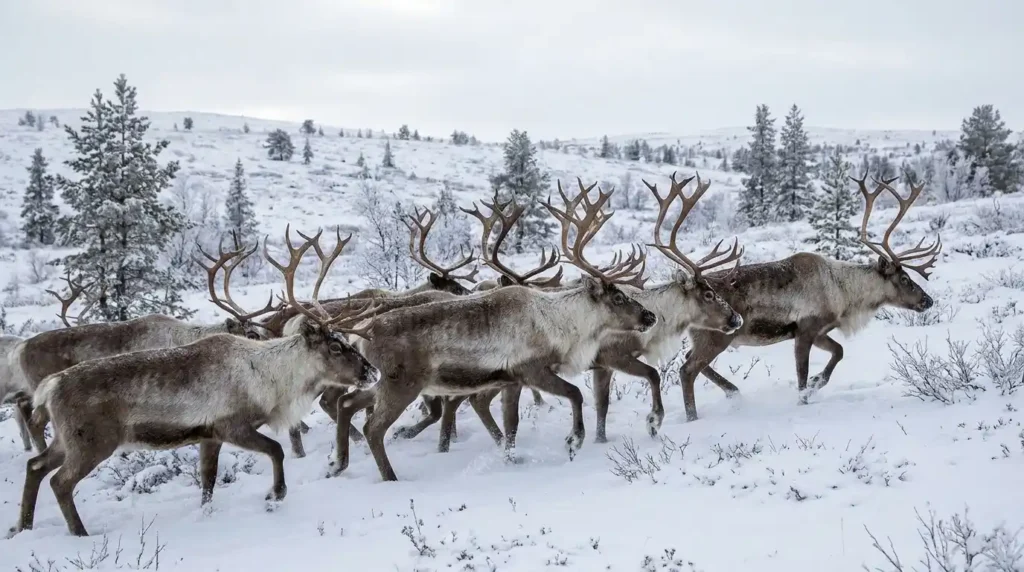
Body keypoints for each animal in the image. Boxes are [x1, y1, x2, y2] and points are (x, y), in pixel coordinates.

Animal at [326, 180, 657, 481]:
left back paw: (337, 464)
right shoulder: (532, 370)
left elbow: (511, 425)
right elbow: (575, 394)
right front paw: (574, 440)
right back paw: (389, 477)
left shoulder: (511, 380)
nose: (651, 315)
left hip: (384, 382)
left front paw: (511, 459)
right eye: (618, 298)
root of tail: (359, 334)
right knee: (373, 427)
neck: (561, 323)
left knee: (347, 403)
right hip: (403, 384)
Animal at [678, 175, 941, 422]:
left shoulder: (820, 331)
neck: (843, 293)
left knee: (691, 360)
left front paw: (817, 382)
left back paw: (733, 393)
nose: (928, 300)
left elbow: (839, 352)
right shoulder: (805, 330)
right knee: (687, 370)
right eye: (904, 278)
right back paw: (693, 417)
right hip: (716, 337)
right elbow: (802, 376)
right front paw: (805, 397)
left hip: (708, 338)